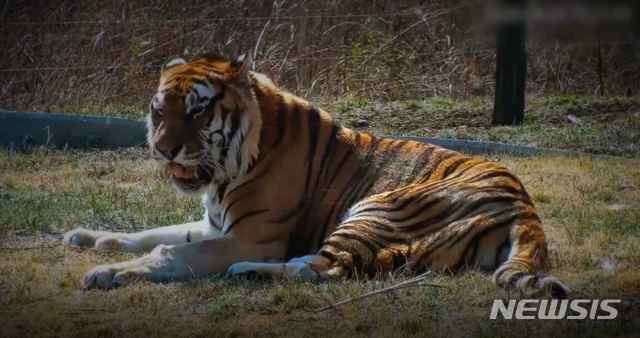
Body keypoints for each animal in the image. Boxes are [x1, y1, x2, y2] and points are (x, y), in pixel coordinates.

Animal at [63, 52, 568, 298]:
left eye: (197, 110)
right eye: (159, 110)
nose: (162, 148)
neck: (225, 172)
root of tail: (526, 207)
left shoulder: (252, 237)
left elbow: (167, 251)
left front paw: (105, 273)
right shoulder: (213, 224)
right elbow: (149, 234)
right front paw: (87, 238)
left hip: (379, 207)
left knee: (328, 267)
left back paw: (245, 272)